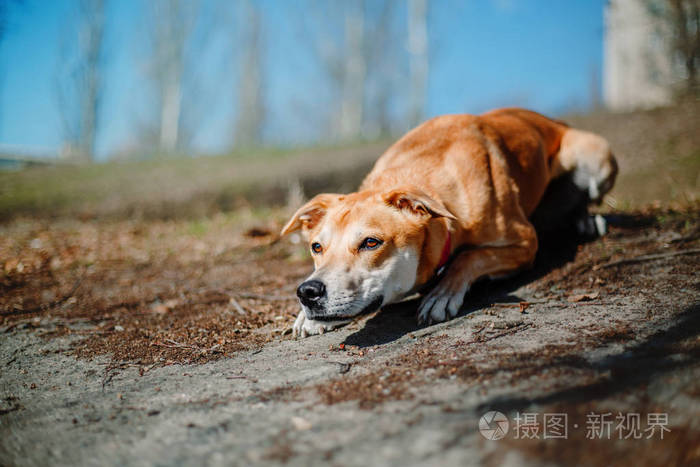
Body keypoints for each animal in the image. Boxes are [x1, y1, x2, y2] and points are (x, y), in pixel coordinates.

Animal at [282, 108, 616, 338]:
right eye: (316, 247)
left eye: (371, 242)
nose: (308, 292)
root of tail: (555, 120)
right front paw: (304, 317)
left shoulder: (525, 242)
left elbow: (470, 256)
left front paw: (442, 293)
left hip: (594, 156)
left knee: (585, 197)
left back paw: (586, 221)